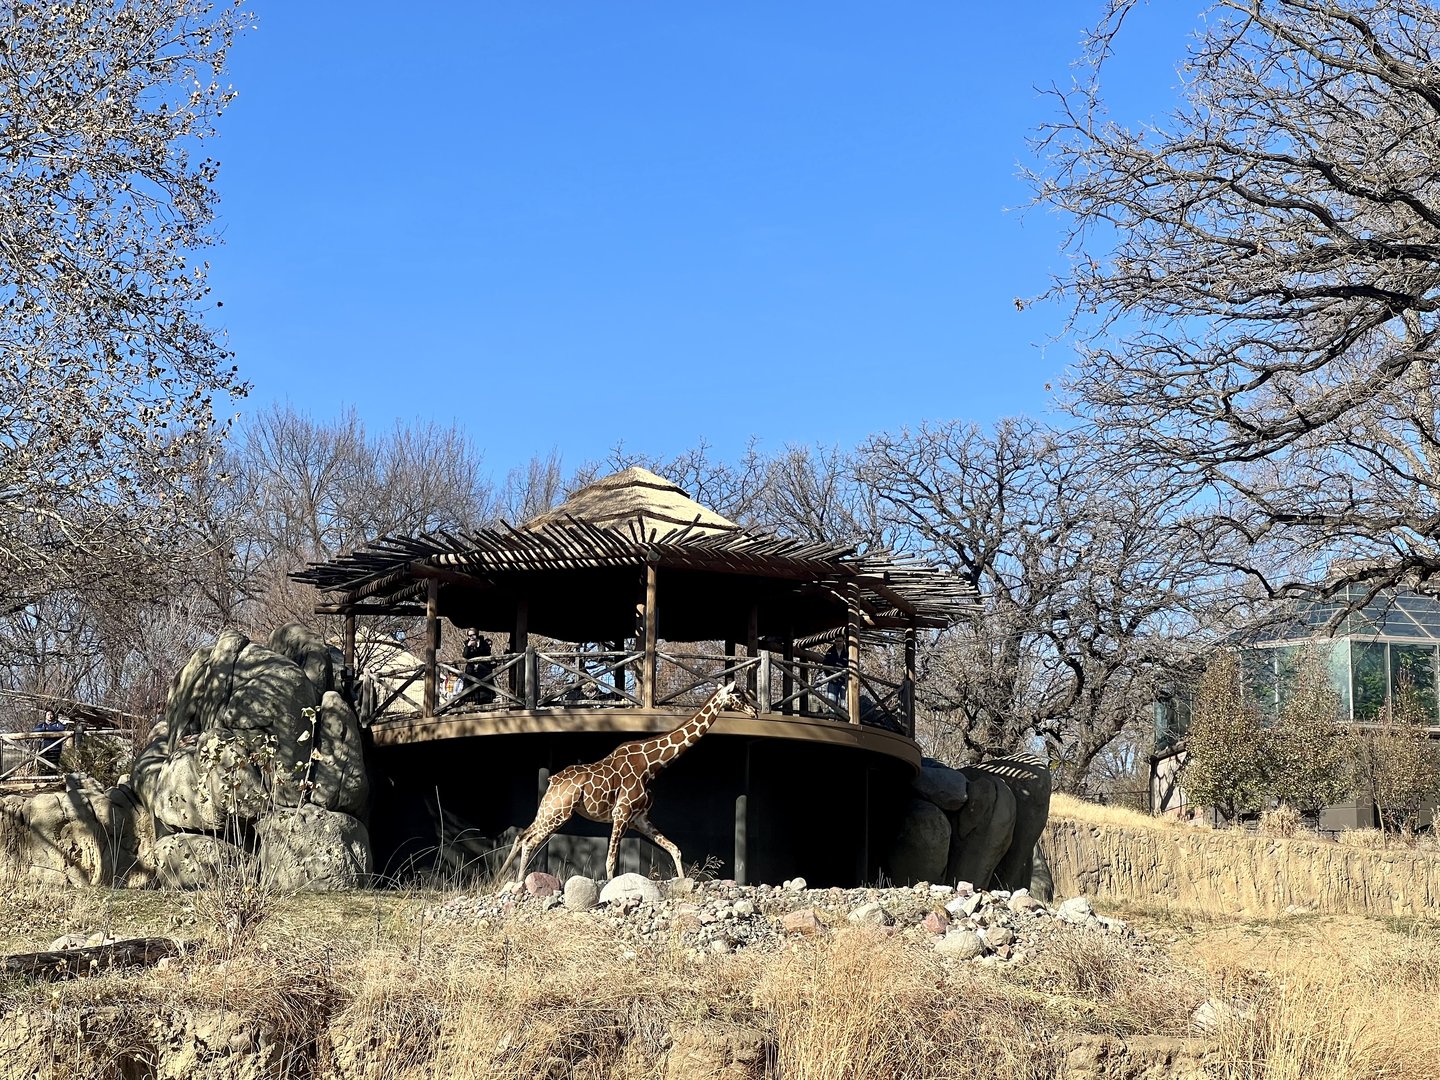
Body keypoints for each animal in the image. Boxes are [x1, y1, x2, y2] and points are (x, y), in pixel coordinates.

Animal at [494, 680, 758, 883]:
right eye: (738, 695)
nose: (754, 713)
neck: (651, 766)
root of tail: (552, 779)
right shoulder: (621, 814)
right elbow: (611, 862)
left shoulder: (639, 819)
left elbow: (675, 848)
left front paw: (684, 883)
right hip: (560, 812)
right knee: (530, 841)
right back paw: (518, 882)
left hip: (549, 808)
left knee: (521, 835)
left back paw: (501, 877)